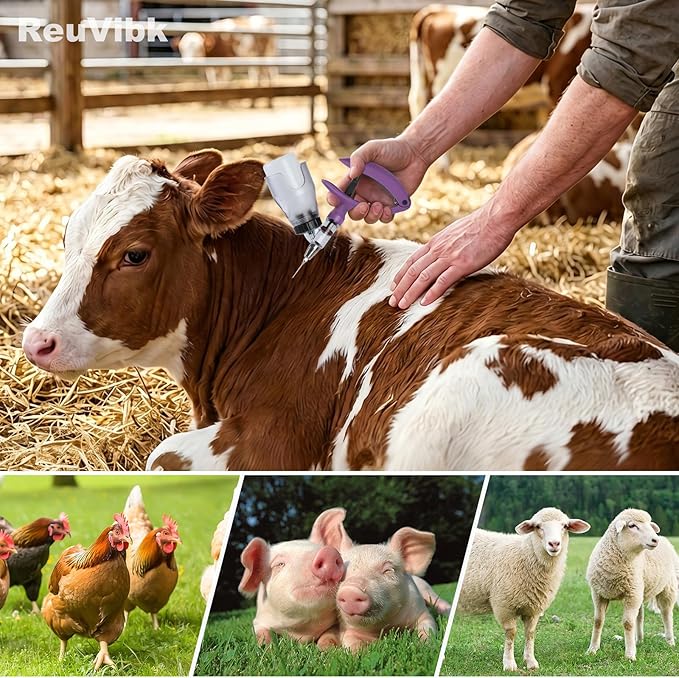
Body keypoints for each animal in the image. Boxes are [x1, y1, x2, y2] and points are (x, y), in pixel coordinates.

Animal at [238, 509, 345, 647]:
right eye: (279, 564)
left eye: (321, 549)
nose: (329, 552)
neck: (301, 630)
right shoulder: (258, 621)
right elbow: (262, 633)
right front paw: (267, 648)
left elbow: (330, 634)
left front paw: (325, 649)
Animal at [458, 507, 590, 671]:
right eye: (538, 526)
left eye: (565, 526)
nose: (554, 544)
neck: (526, 554)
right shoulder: (504, 605)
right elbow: (511, 634)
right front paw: (509, 664)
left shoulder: (534, 608)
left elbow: (530, 633)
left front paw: (531, 662)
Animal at [586, 508, 678, 661]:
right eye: (632, 526)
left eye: (649, 525)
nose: (655, 540)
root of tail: (665, 539)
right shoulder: (599, 594)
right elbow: (598, 621)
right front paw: (592, 649)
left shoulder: (631, 594)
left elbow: (628, 624)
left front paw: (629, 655)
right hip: (640, 590)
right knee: (640, 617)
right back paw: (638, 640)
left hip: (667, 588)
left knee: (667, 614)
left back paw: (670, 641)